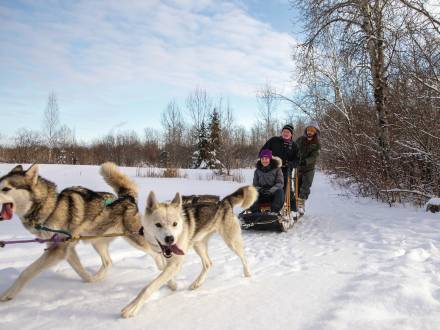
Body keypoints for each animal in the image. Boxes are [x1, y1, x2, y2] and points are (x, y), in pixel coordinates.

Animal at [120, 186, 258, 318]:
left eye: (175, 224)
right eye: (158, 224)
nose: (170, 239)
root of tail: (224, 202)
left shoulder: (175, 263)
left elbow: (149, 287)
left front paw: (132, 308)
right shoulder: (164, 258)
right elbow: (162, 273)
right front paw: (173, 285)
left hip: (231, 242)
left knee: (244, 258)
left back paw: (247, 275)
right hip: (199, 245)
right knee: (208, 264)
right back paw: (196, 284)